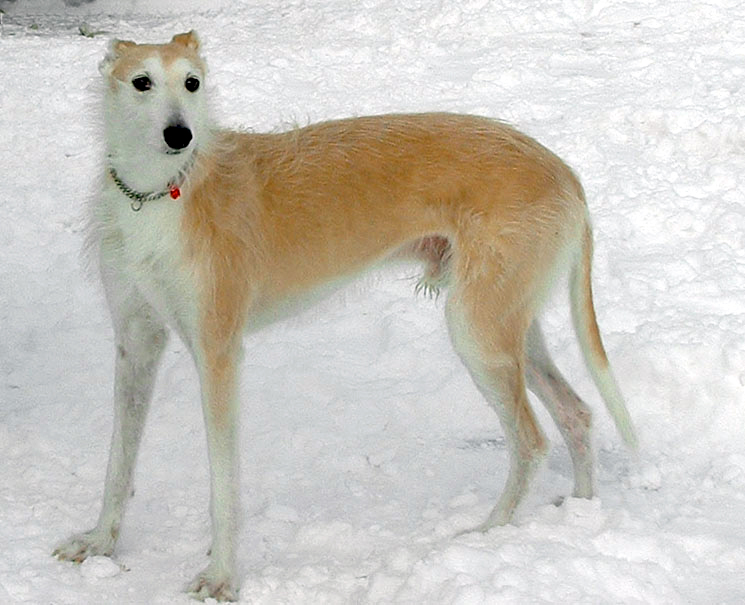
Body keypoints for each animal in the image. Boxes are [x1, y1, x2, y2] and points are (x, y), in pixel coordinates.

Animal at [52, 31, 636, 600]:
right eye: (142, 82)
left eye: (192, 82)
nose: (181, 135)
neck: (159, 191)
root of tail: (564, 173)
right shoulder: (136, 342)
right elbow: (118, 460)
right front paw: (100, 543)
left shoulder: (218, 353)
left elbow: (223, 481)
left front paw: (221, 577)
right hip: (510, 326)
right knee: (576, 413)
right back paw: (582, 511)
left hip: (479, 333)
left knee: (532, 442)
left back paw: (488, 534)